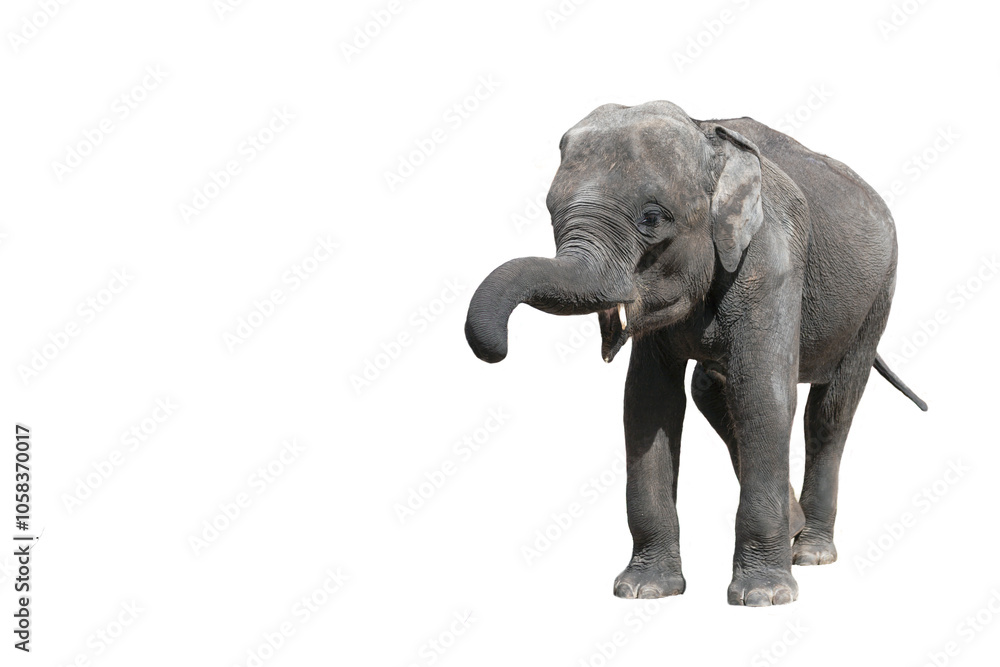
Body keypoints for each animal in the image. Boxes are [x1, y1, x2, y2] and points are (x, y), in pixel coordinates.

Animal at [464, 101, 927, 606]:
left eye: (652, 218)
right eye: (550, 210)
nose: (496, 350)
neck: (707, 133)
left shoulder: (772, 259)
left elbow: (762, 394)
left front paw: (762, 597)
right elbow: (648, 401)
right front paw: (644, 590)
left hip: (878, 296)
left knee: (831, 409)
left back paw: (812, 552)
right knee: (710, 389)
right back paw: (795, 528)